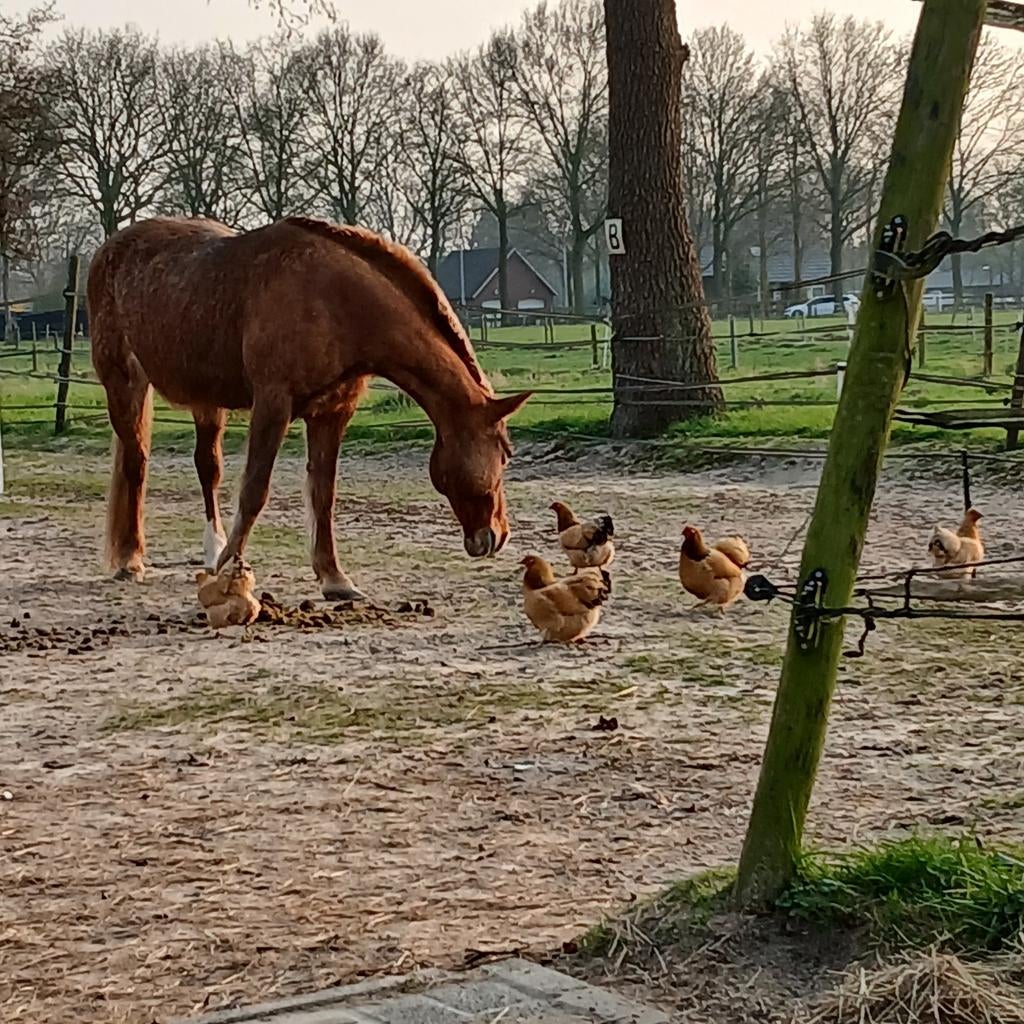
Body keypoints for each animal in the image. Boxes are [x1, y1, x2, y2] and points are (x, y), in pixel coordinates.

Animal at [87, 216, 531, 600]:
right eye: (505, 453)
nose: (496, 536)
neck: (333, 299)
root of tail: (108, 249)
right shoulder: (273, 403)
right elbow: (255, 490)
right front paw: (231, 568)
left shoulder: (332, 414)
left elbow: (323, 495)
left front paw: (334, 579)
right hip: (124, 382)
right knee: (136, 466)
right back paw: (130, 560)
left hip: (207, 402)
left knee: (206, 468)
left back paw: (210, 548)